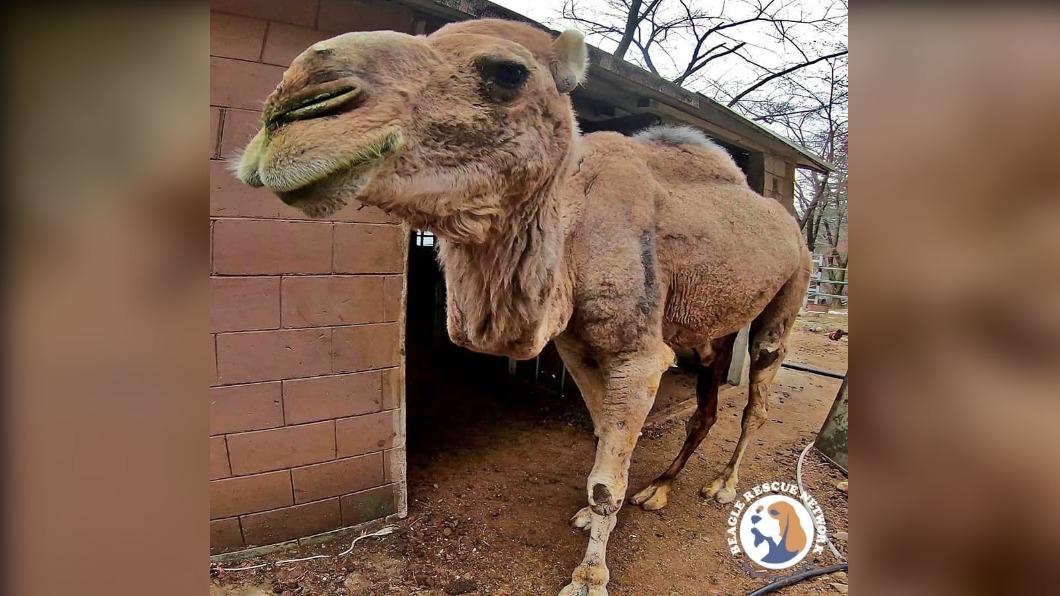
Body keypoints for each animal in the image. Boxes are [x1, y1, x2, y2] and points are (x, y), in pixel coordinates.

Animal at [234, 19, 809, 593]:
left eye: (508, 73)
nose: (289, 111)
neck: (572, 233)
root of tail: (793, 226)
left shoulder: (639, 355)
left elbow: (607, 477)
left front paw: (590, 576)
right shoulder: (575, 346)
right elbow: (602, 438)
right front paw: (591, 517)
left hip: (790, 294)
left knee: (757, 399)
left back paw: (724, 484)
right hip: (715, 320)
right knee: (706, 402)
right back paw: (660, 488)